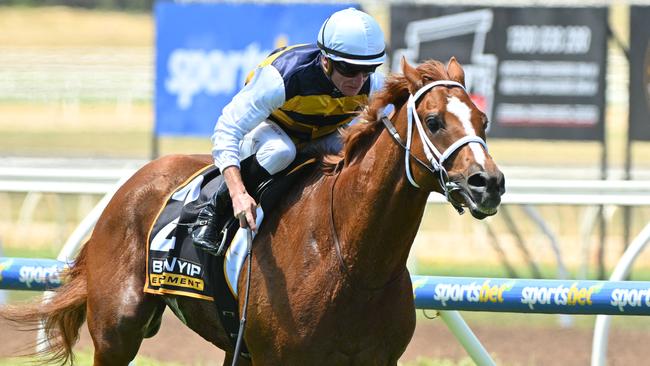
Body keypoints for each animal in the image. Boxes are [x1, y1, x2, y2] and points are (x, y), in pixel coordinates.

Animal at [2, 58, 504, 366]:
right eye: (435, 121)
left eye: (483, 121)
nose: (489, 184)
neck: (351, 260)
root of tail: (129, 186)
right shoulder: (278, 357)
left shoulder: (376, 359)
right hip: (116, 332)